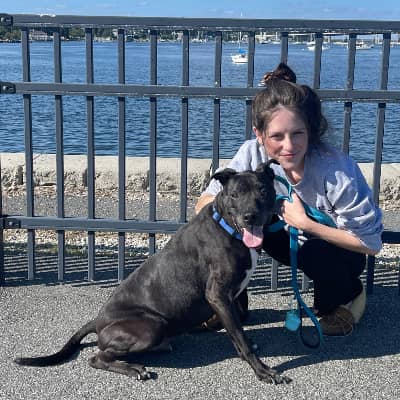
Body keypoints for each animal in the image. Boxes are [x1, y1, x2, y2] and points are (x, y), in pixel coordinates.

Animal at [14, 160, 291, 384]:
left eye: (263, 190)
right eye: (234, 194)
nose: (250, 216)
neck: (227, 225)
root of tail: (98, 321)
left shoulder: (229, 298)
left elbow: (237, 332)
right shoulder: (218, 296)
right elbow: (241, 339)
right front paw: (263, 371)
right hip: (151, 326)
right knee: (97, 357)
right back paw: (134, 368)